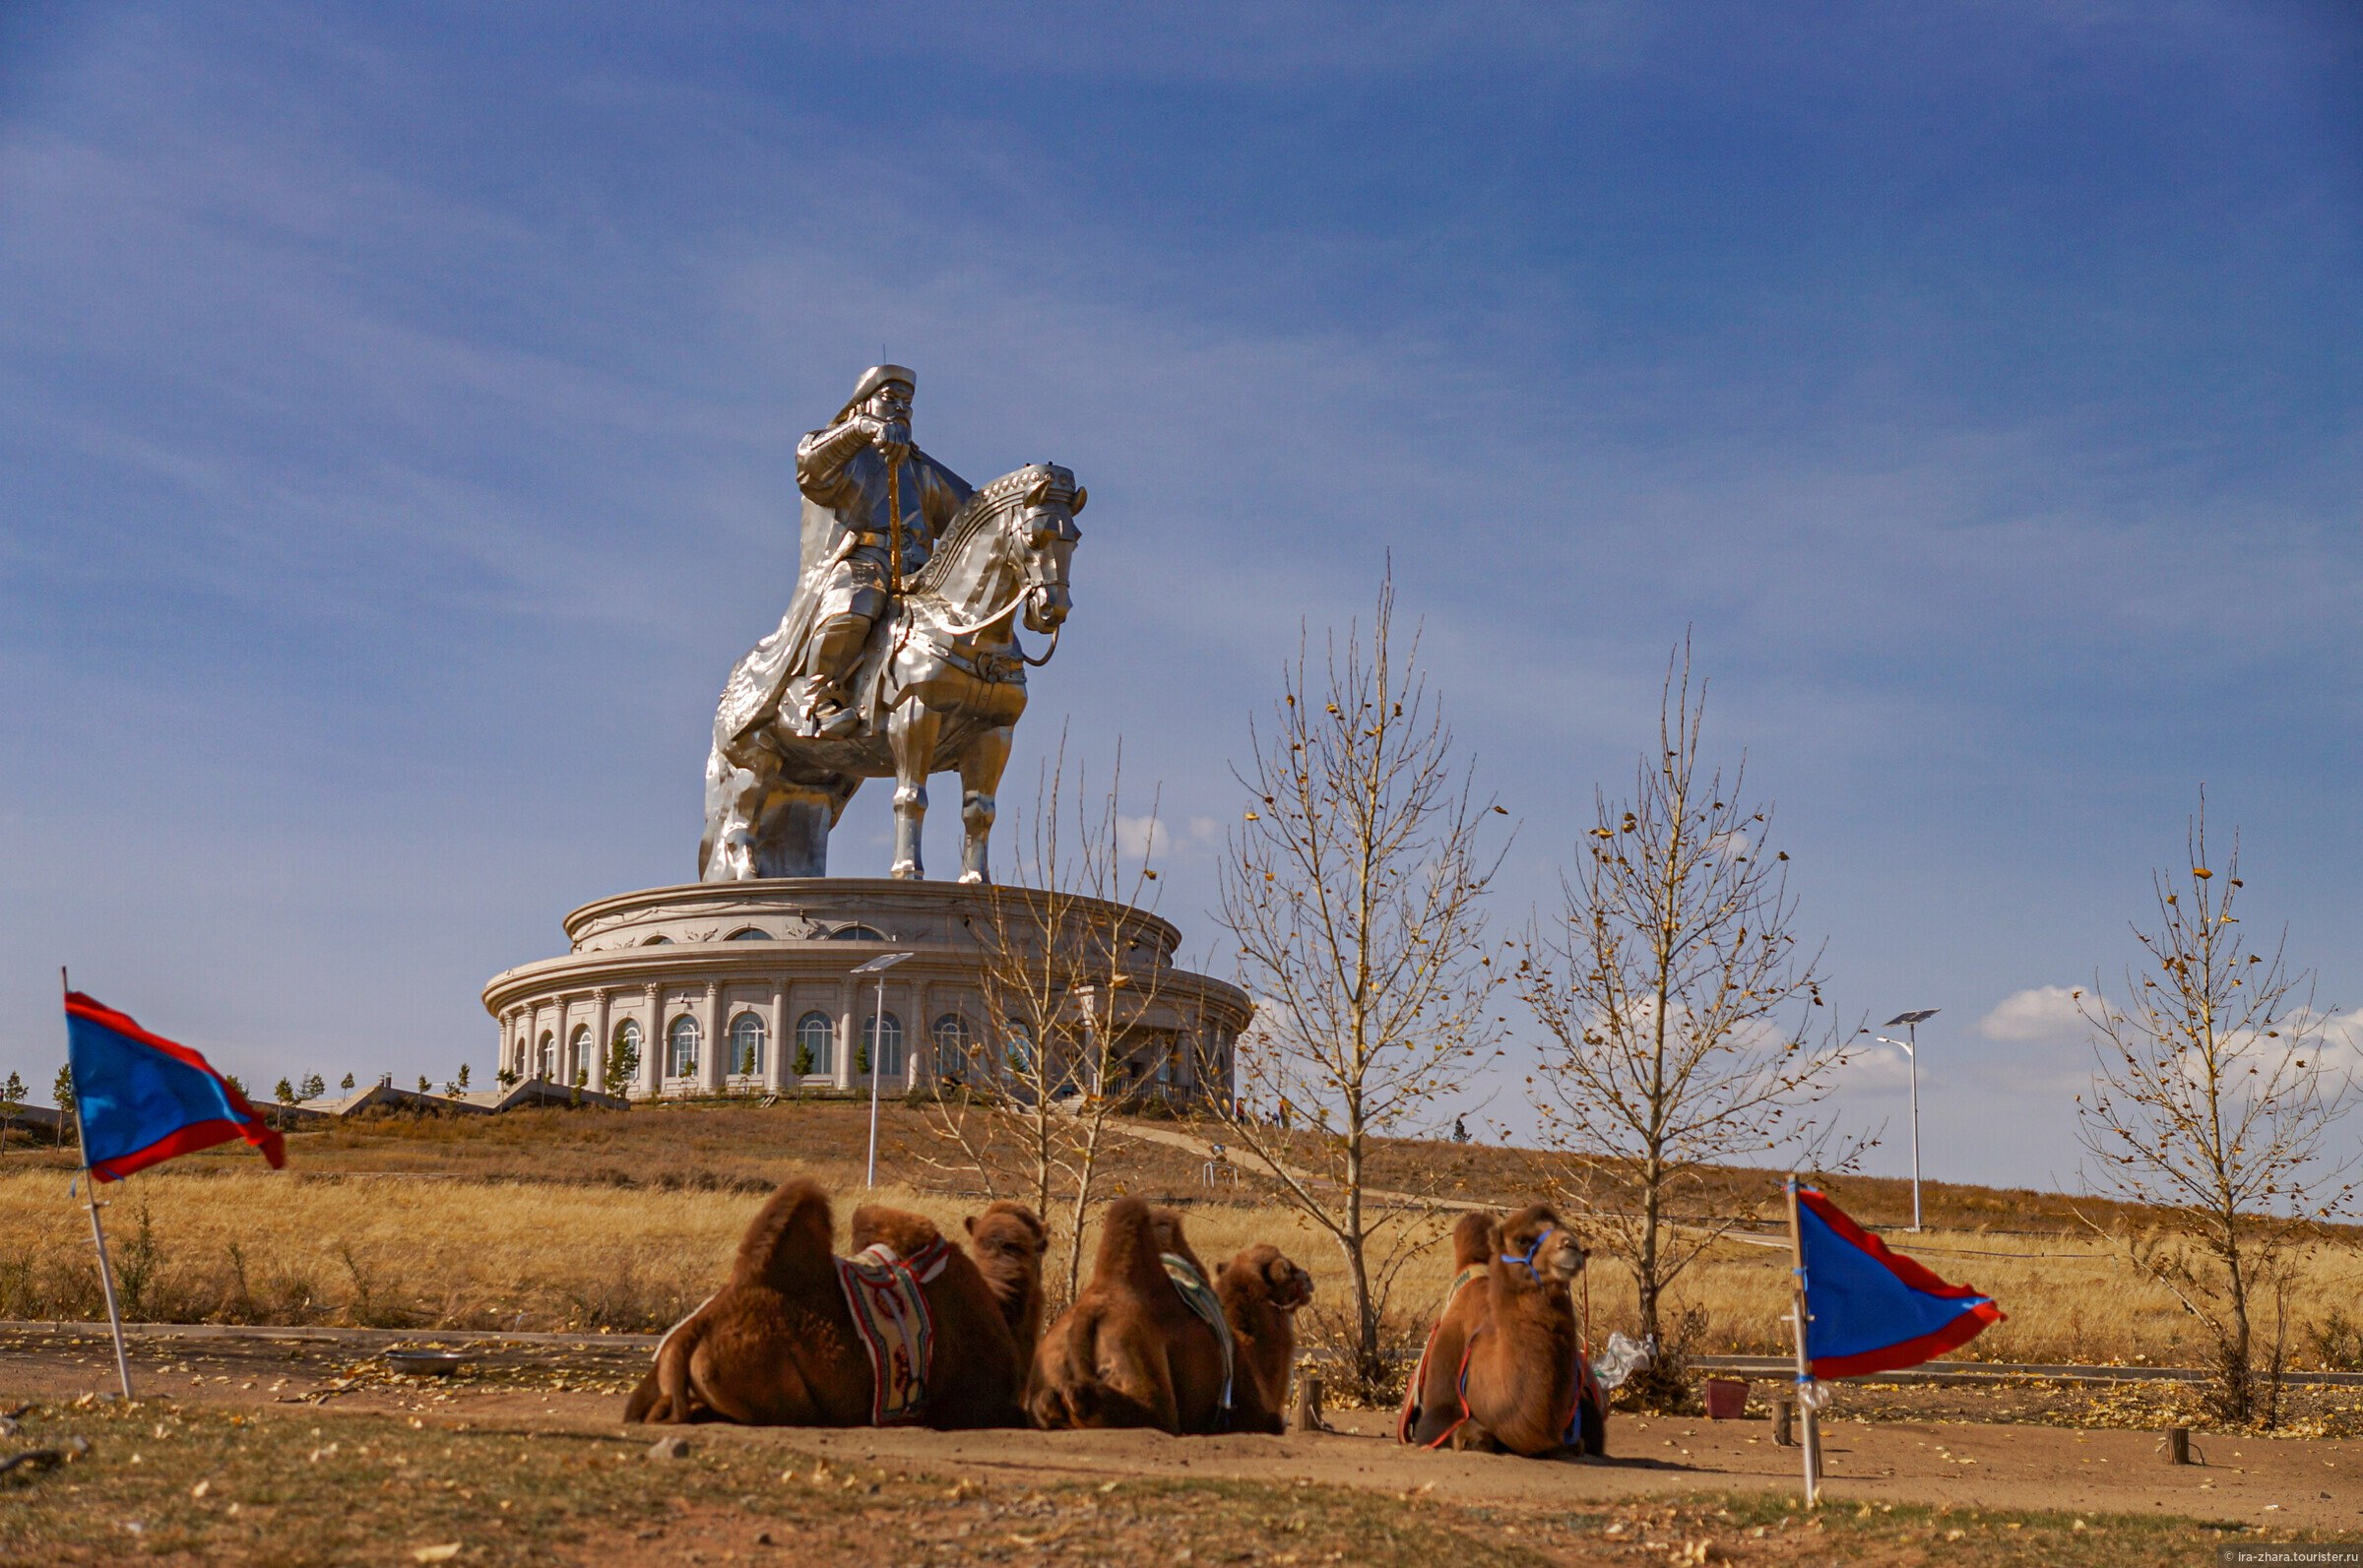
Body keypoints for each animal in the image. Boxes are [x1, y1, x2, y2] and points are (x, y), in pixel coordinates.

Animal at [1030, 1199, 1313, 1435]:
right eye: (1289, 1269)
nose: (1308, 1279)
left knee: (1049, 1400)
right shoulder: (1251, 1414)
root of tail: (1086, 1316)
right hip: (1136, 1354)